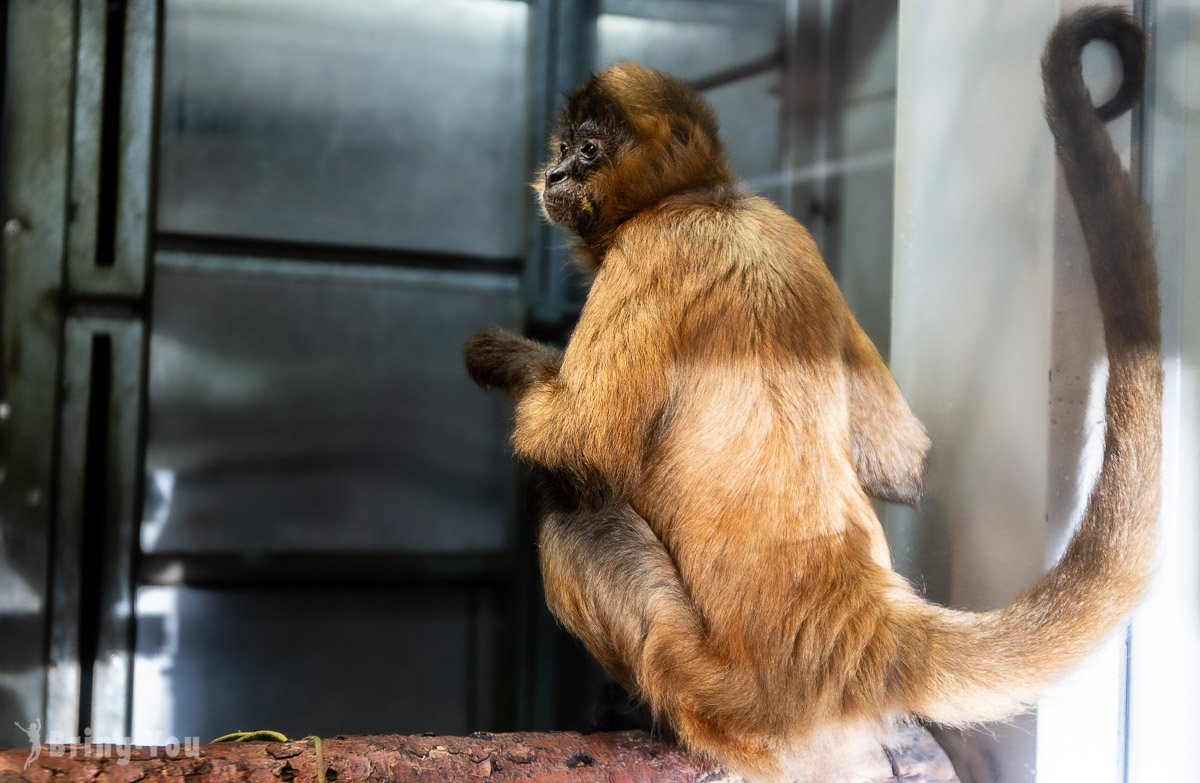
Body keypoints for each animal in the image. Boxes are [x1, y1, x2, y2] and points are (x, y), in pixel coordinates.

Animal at [463, 7, 1156, 783]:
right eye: (562, 148)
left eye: (587, 150)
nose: (555, 170)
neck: (711, 201)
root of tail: (854, 617)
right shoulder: (790, 231)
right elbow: (907, 463)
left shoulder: (656, 245)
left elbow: (578, 445)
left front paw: (508, 357)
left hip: (703, 678)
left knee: (570, 506)